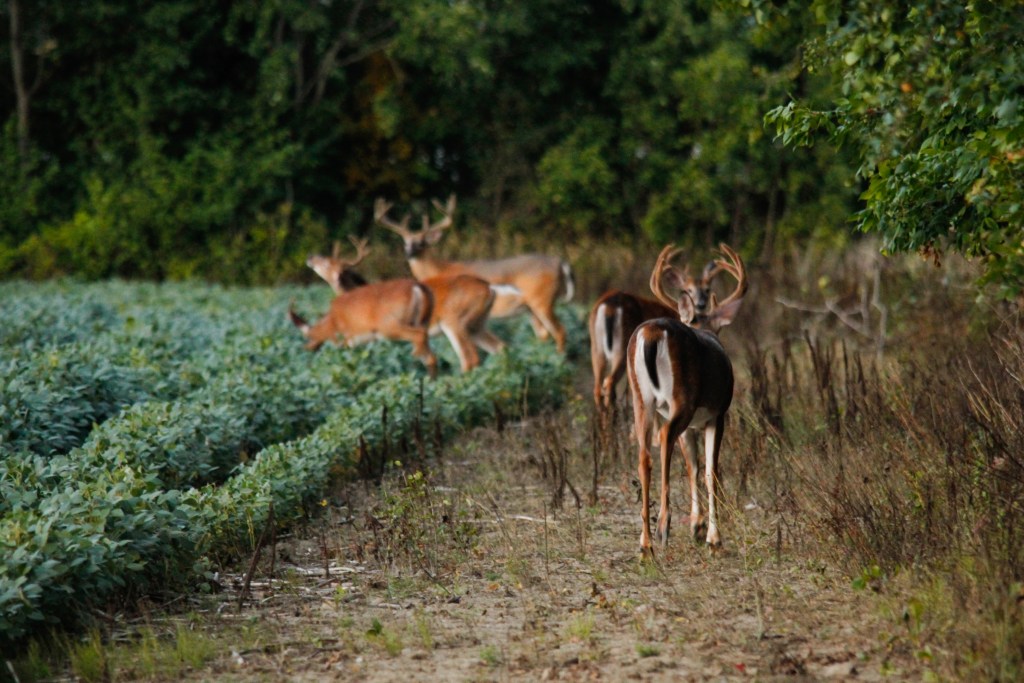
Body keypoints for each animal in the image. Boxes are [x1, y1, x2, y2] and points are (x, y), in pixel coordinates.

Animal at [301, 235, 505, 374]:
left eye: (327, 263)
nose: (310, 256)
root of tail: (489, 288)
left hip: (454, 322)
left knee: (469, 359)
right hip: (476, 324)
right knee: (499, 348)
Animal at [376, 193, 577, 350]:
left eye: (422, 243)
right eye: (405, 242)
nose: (409, 253)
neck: (439, 269)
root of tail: (560, 262)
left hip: (541, 300)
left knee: (560, 331)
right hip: (531, 308)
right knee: (544, 335)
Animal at [622, 241, 745, 557]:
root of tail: (652, 333)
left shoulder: (692, 426)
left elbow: (693, 466)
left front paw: (697, 527)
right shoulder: (717, 414)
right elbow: (710, 472)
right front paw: (713, 537)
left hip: (641, 399)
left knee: (644, 454)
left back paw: (645, 544)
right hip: (681, 399)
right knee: (664, 437)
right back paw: (663, 528)